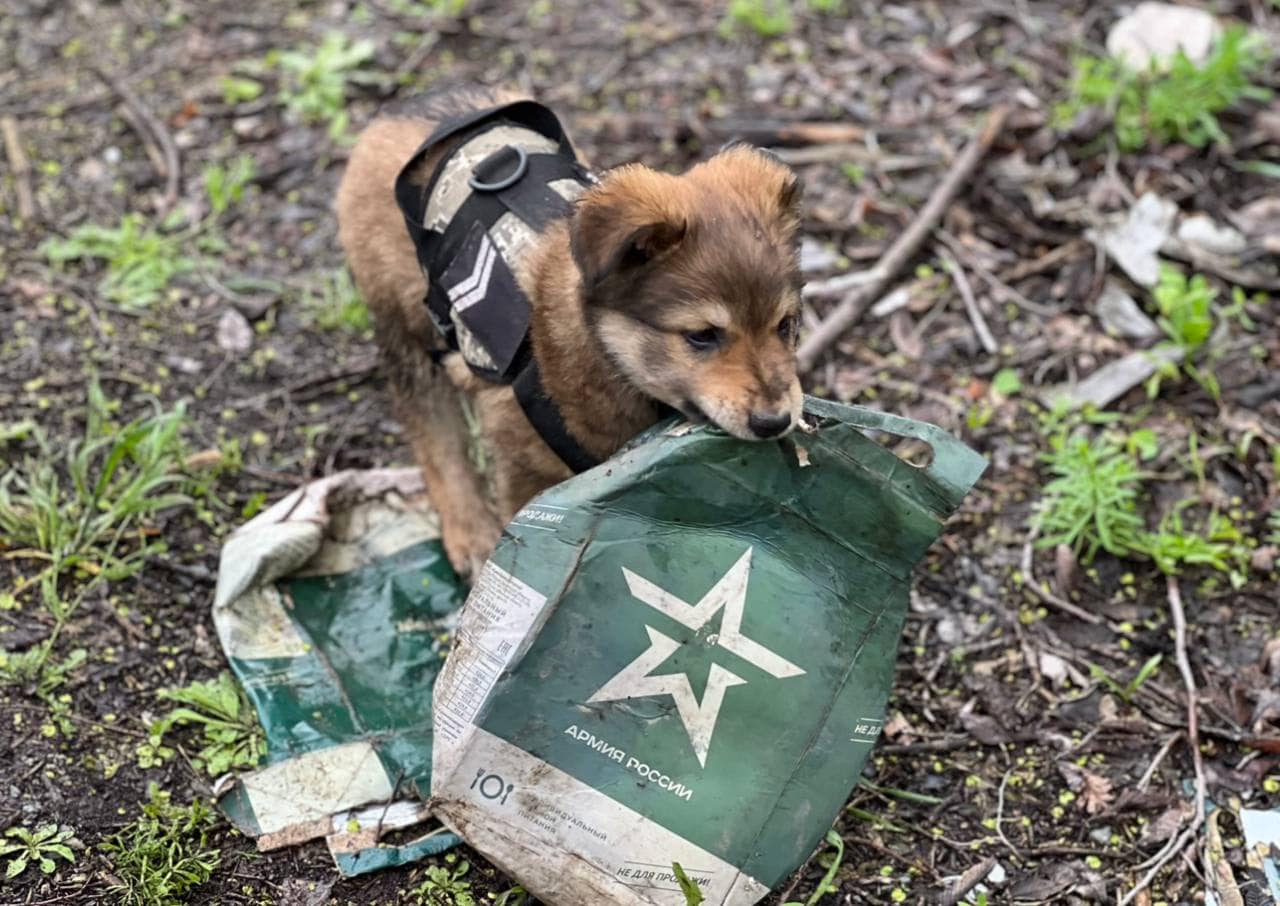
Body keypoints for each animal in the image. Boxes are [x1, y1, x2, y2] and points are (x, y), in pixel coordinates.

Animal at [335, 87, 803, 580]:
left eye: (786, 325)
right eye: (702, 335)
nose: (775, 422)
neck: (603, 355)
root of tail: (422, 101)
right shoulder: (520, 467)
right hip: (403, 323)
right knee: (431, 427)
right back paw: (469, 529)